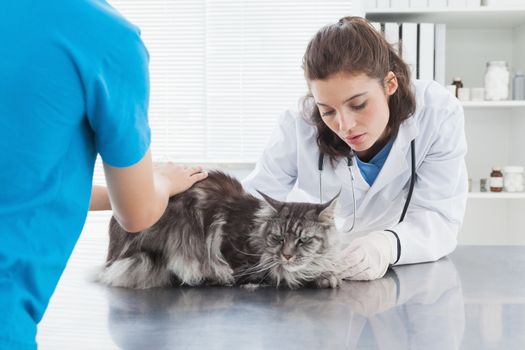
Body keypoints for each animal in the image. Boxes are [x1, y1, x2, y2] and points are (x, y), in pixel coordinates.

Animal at [97, 171, 340, 288]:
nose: (287, 256)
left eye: (303, 240)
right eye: (278, 238)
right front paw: (322, 277)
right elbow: (281, 274)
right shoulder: (240, 264)